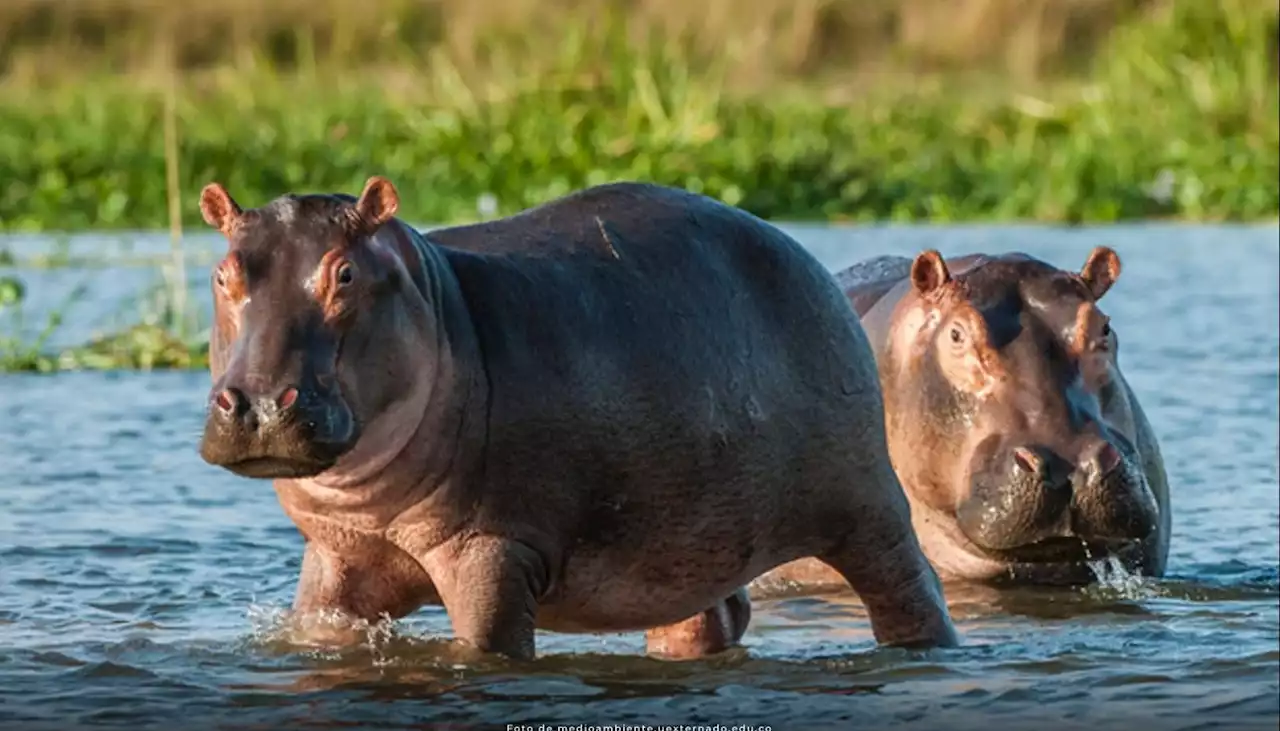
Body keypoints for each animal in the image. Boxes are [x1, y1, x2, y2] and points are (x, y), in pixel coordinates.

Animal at [194, 174, 957, 660]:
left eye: (345, 273)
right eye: (222, 274)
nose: (258, 403)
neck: (436, 303)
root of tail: (807, 257)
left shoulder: (492, 549)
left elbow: (488, 648)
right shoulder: (337, 556)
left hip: (867, 507)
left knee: (909, 589)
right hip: (685, 539)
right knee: (708, 617)